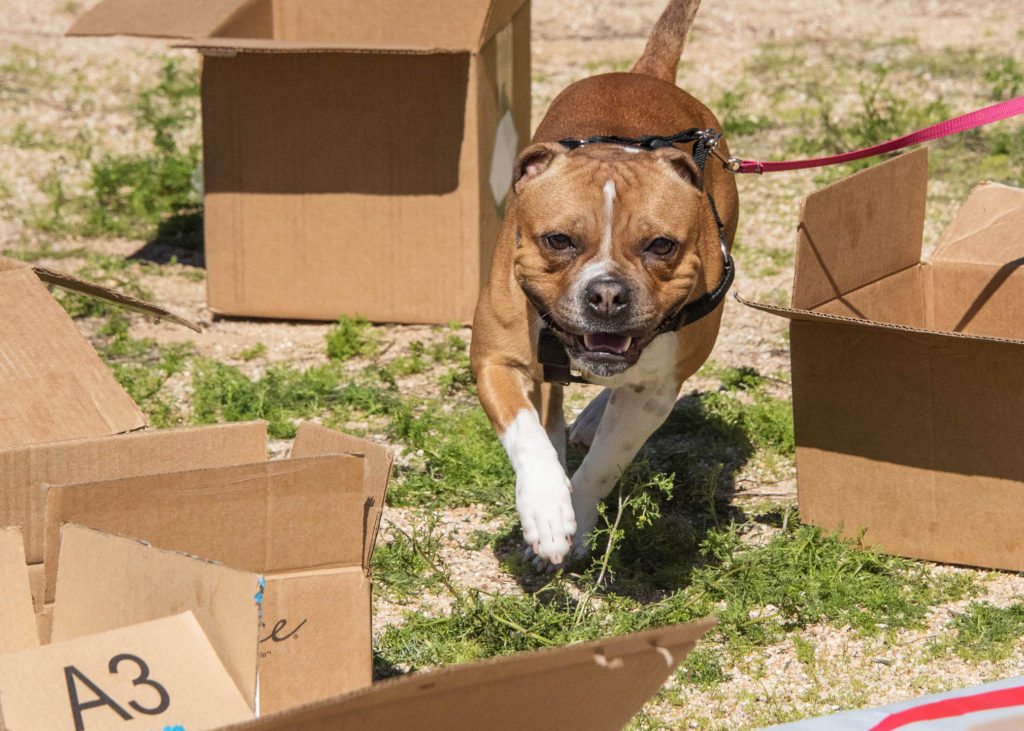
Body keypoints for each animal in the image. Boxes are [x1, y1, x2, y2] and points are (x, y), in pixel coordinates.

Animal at [471, 0, 737, 565]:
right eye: (558, 240)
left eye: (661, 245)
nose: (608, 294)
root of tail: (645, 73)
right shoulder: (494, 360)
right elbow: (527, 435)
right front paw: (546, 509)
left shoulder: (654, 393)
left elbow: (603, 465)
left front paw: (576, 518)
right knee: (549, 410)